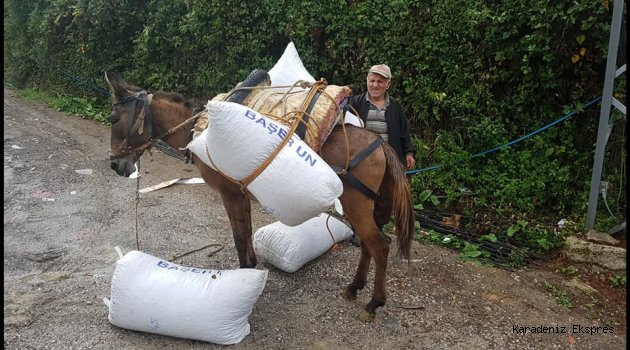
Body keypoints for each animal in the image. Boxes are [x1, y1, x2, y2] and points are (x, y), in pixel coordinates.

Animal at [106, 70, 418, 320]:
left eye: (113, 118)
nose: (115, 165)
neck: (199, 130)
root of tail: (381, 144)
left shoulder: (230, 194)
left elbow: (239, 236)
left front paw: (244, 275)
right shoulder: (241, 194)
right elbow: (245, 233)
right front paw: (252, 269)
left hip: (356, 204)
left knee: (380, 245)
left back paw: (374, 303)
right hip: (366, 205)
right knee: (368, 244)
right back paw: (354, 287)